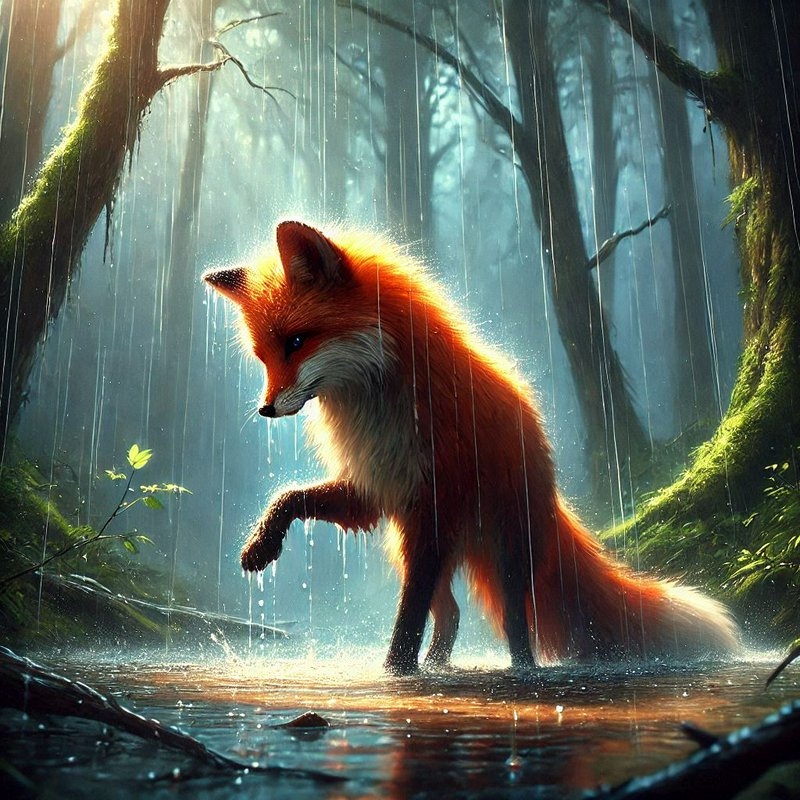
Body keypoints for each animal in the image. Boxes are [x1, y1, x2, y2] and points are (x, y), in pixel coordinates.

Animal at [204, 220, 739, 675]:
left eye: (297, 342)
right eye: (263, 357)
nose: (265, 410)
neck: (380, 404)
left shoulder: (435, 504)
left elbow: (408, 616)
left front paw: (394, 672)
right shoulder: (378, 490)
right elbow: (289, 498)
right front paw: (261, 545)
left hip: (503, 551)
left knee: (514, 621)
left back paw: (519, 669)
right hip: (413, 543)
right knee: (453, 613)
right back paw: (440, 664)